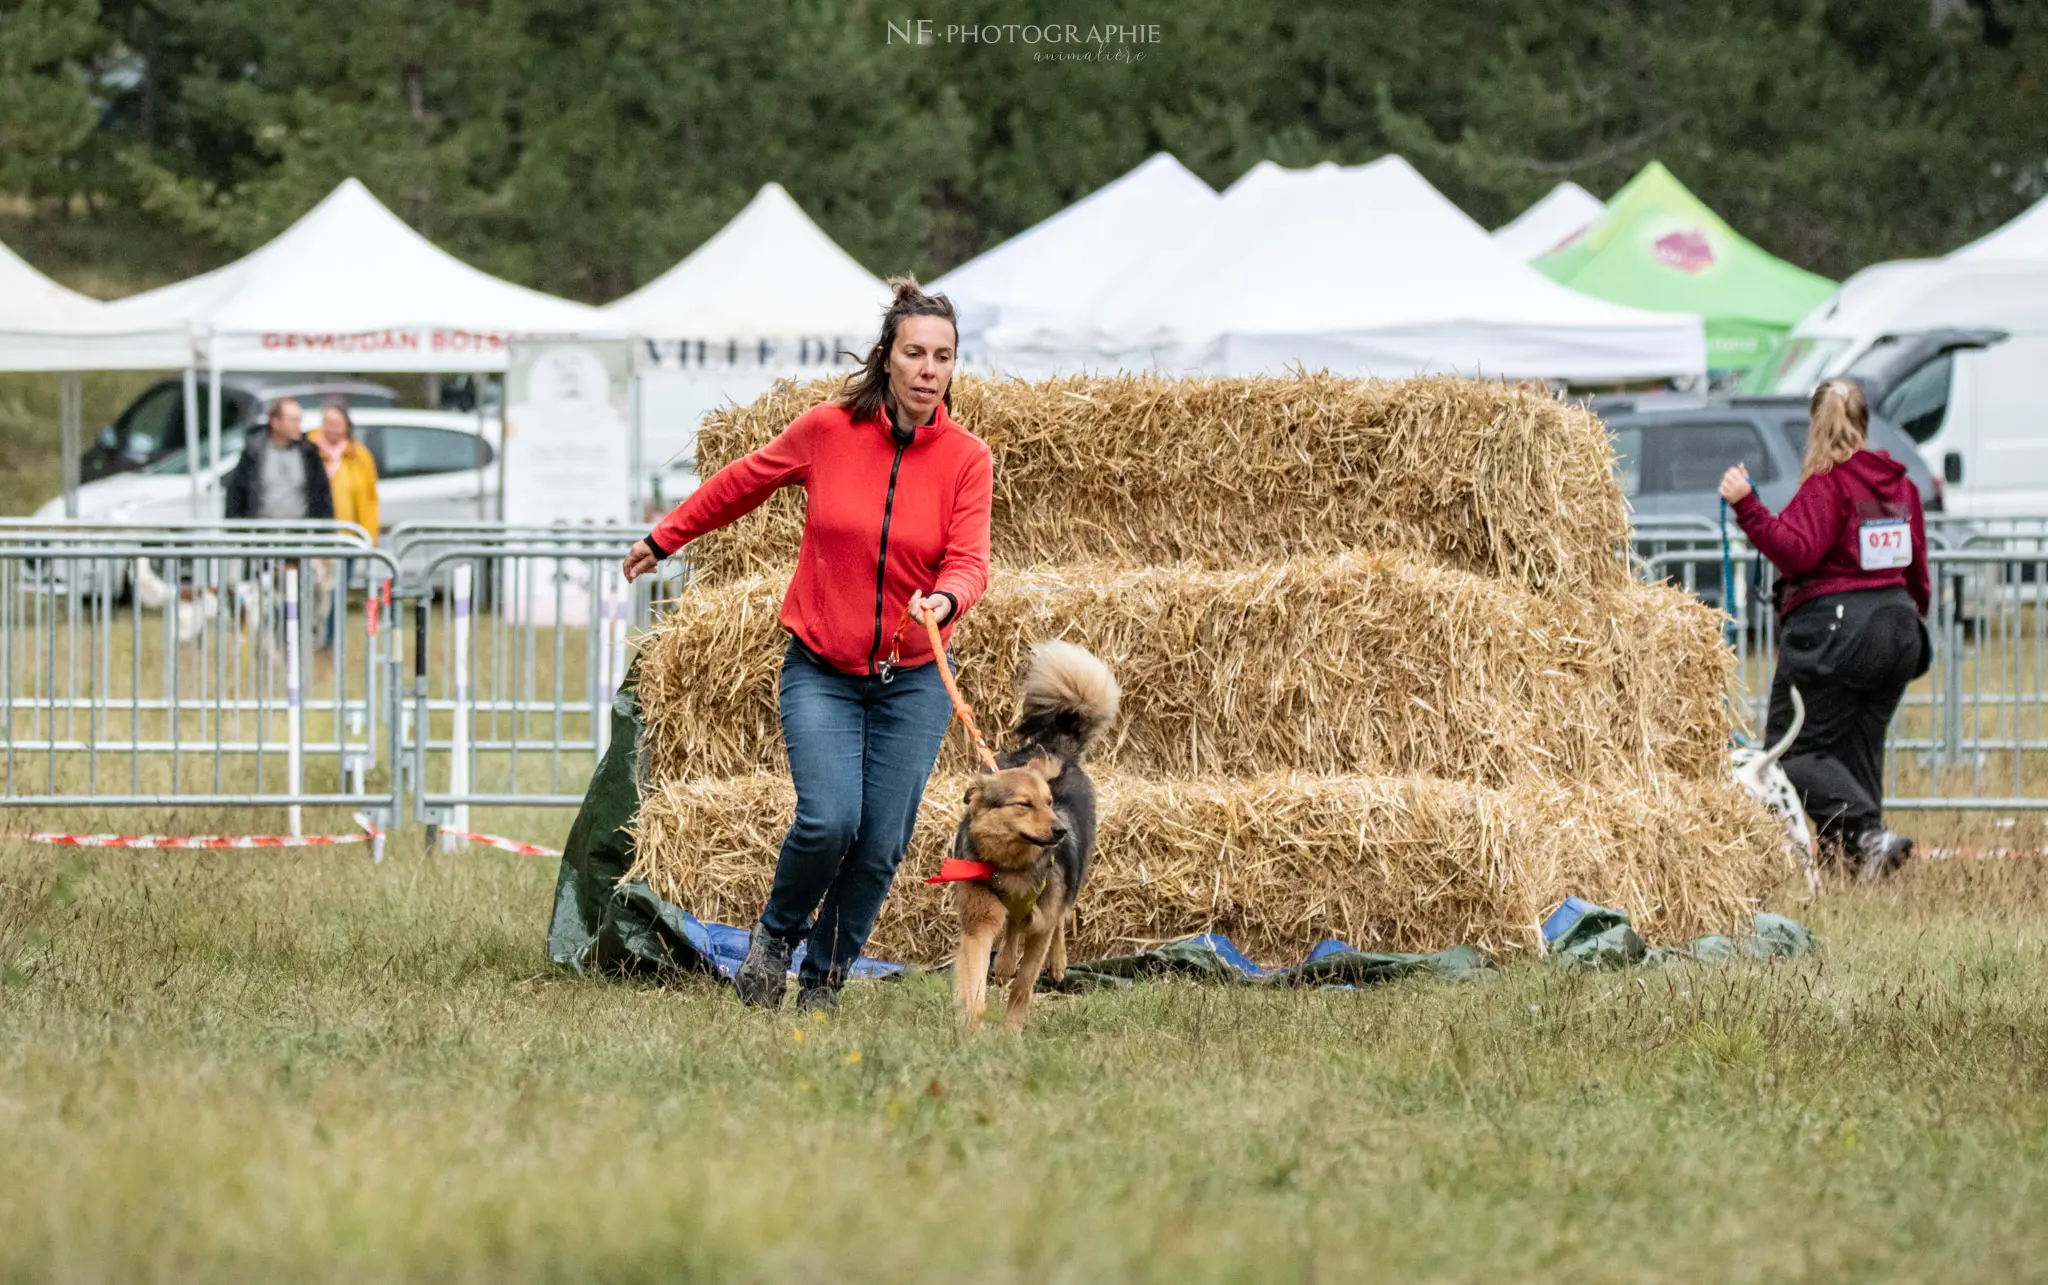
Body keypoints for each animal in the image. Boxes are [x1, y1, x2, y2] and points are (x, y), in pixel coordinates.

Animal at [946, 643, 1122, 1037]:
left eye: (1049, 802)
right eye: (1024, 805)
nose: (1060, 831)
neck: (1014, 866)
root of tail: (1053, 747)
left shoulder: (1042, 924)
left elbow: (1025, 985)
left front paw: (1012, 1031)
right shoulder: (980, 920)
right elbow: (975, 978)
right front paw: (972, 1025)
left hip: (1072, 881)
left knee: (1057, 919)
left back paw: (1056, 963)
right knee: (1014, 928)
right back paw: (1004, 963)